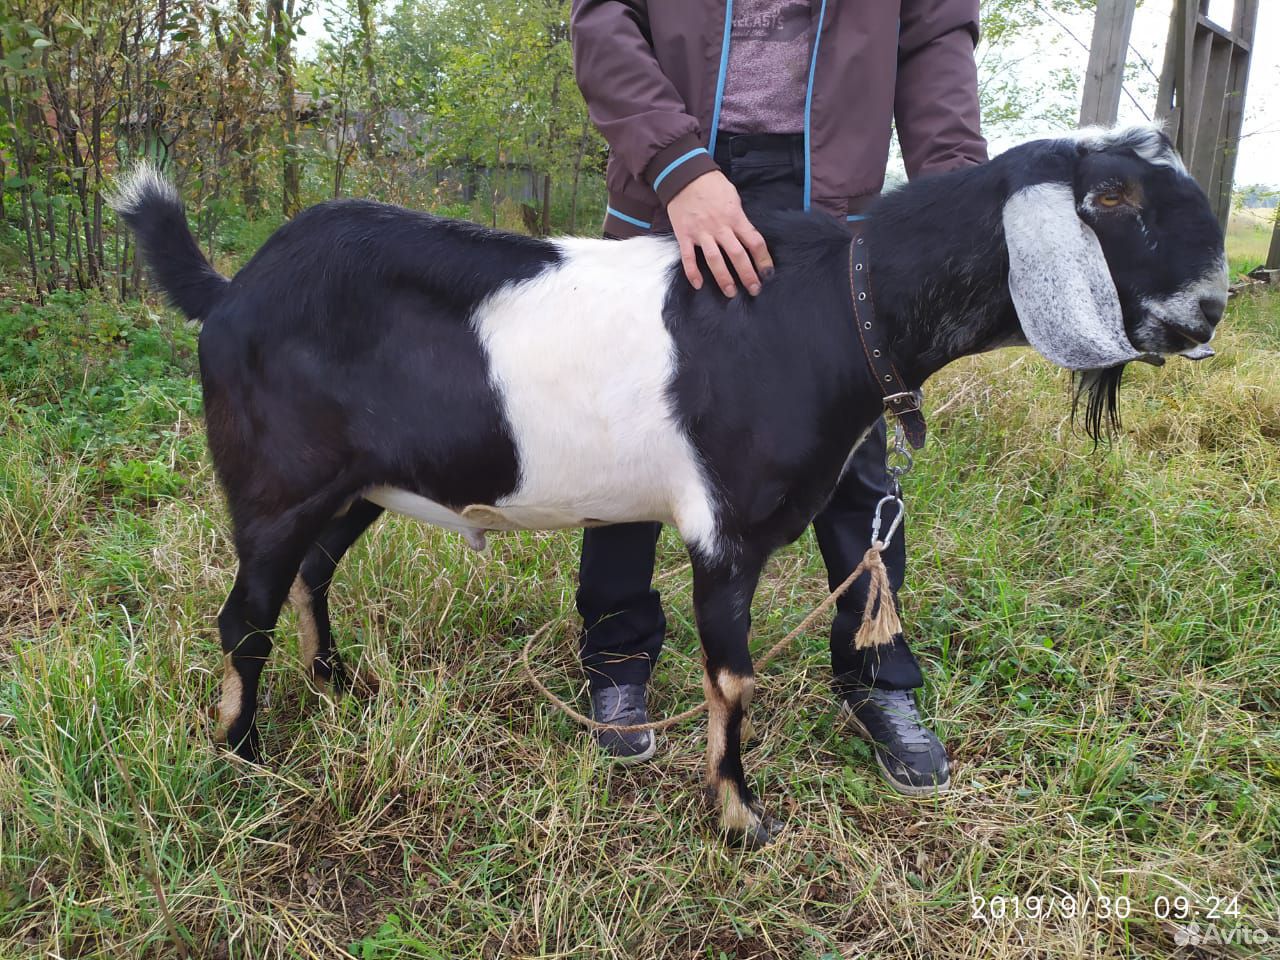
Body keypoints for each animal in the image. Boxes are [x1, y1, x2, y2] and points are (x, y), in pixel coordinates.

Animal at [117, 124, 1228, 844]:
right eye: (1112, 198)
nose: (1211, 307)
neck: (840, 302)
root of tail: (230, 292)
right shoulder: (723, 529)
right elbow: (731, 678)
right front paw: (741, 819)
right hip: (274, 483)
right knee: (244, 614)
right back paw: (243, 758)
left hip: (356, 486)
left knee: (313, 574)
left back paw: (339, 682)